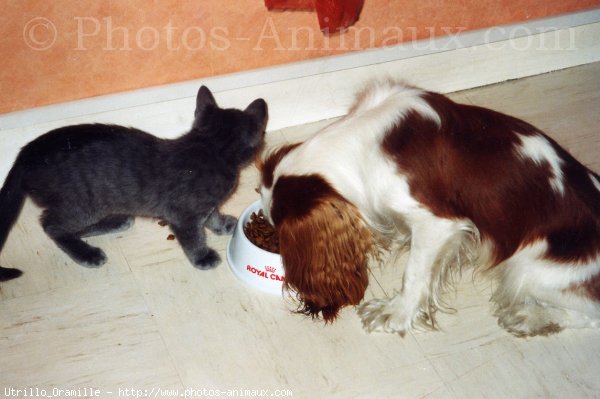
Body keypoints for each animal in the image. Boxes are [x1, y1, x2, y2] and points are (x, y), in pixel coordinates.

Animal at [0, 87, 268, 282]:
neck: (210, 147)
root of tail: (26, 153)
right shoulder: (183, 215)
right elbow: (193, 237)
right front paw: (202, 257)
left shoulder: (204, 205)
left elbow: (212, 215)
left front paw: (221, 224)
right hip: (82, 204)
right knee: (51, 225)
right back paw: (86, 253)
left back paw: (113, 224)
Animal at [258, 81, 600, 338]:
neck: (366, 143)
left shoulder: (437, 223)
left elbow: (414, 272)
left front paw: (395, 312)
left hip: (530, 270)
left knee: (589, 314)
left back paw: (528, 316)